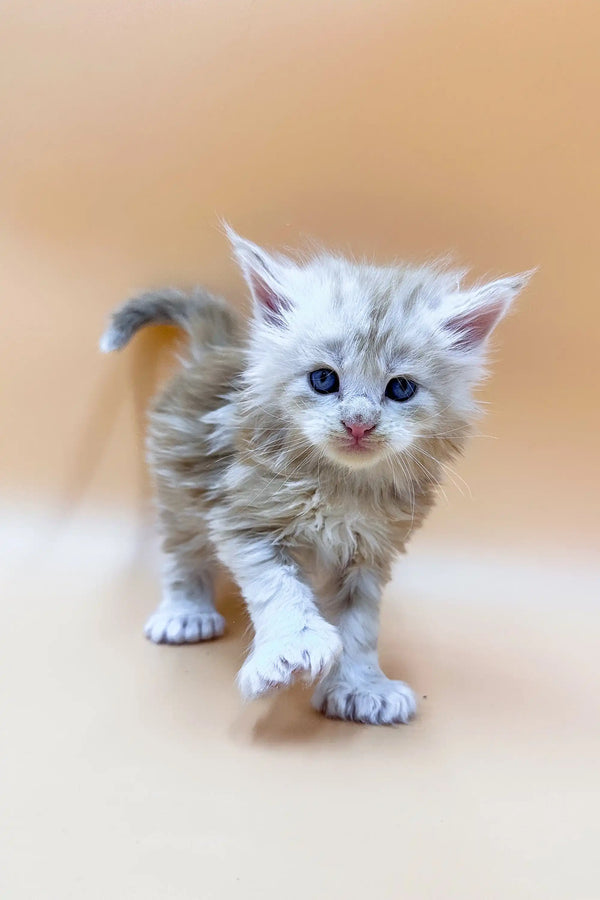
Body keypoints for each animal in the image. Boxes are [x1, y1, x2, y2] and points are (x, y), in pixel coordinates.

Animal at [101, 229, 532, 728]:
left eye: (400, 388)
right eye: (324, 380)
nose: (359, 423)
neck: (340, 486)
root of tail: (218, 350)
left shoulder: (371, 551)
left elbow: (360, 625)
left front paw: (360, 687)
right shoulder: (246, 518)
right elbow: (280, 589)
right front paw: (292, 649)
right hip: (179, 483)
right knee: (183, 552)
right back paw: (186, 613)